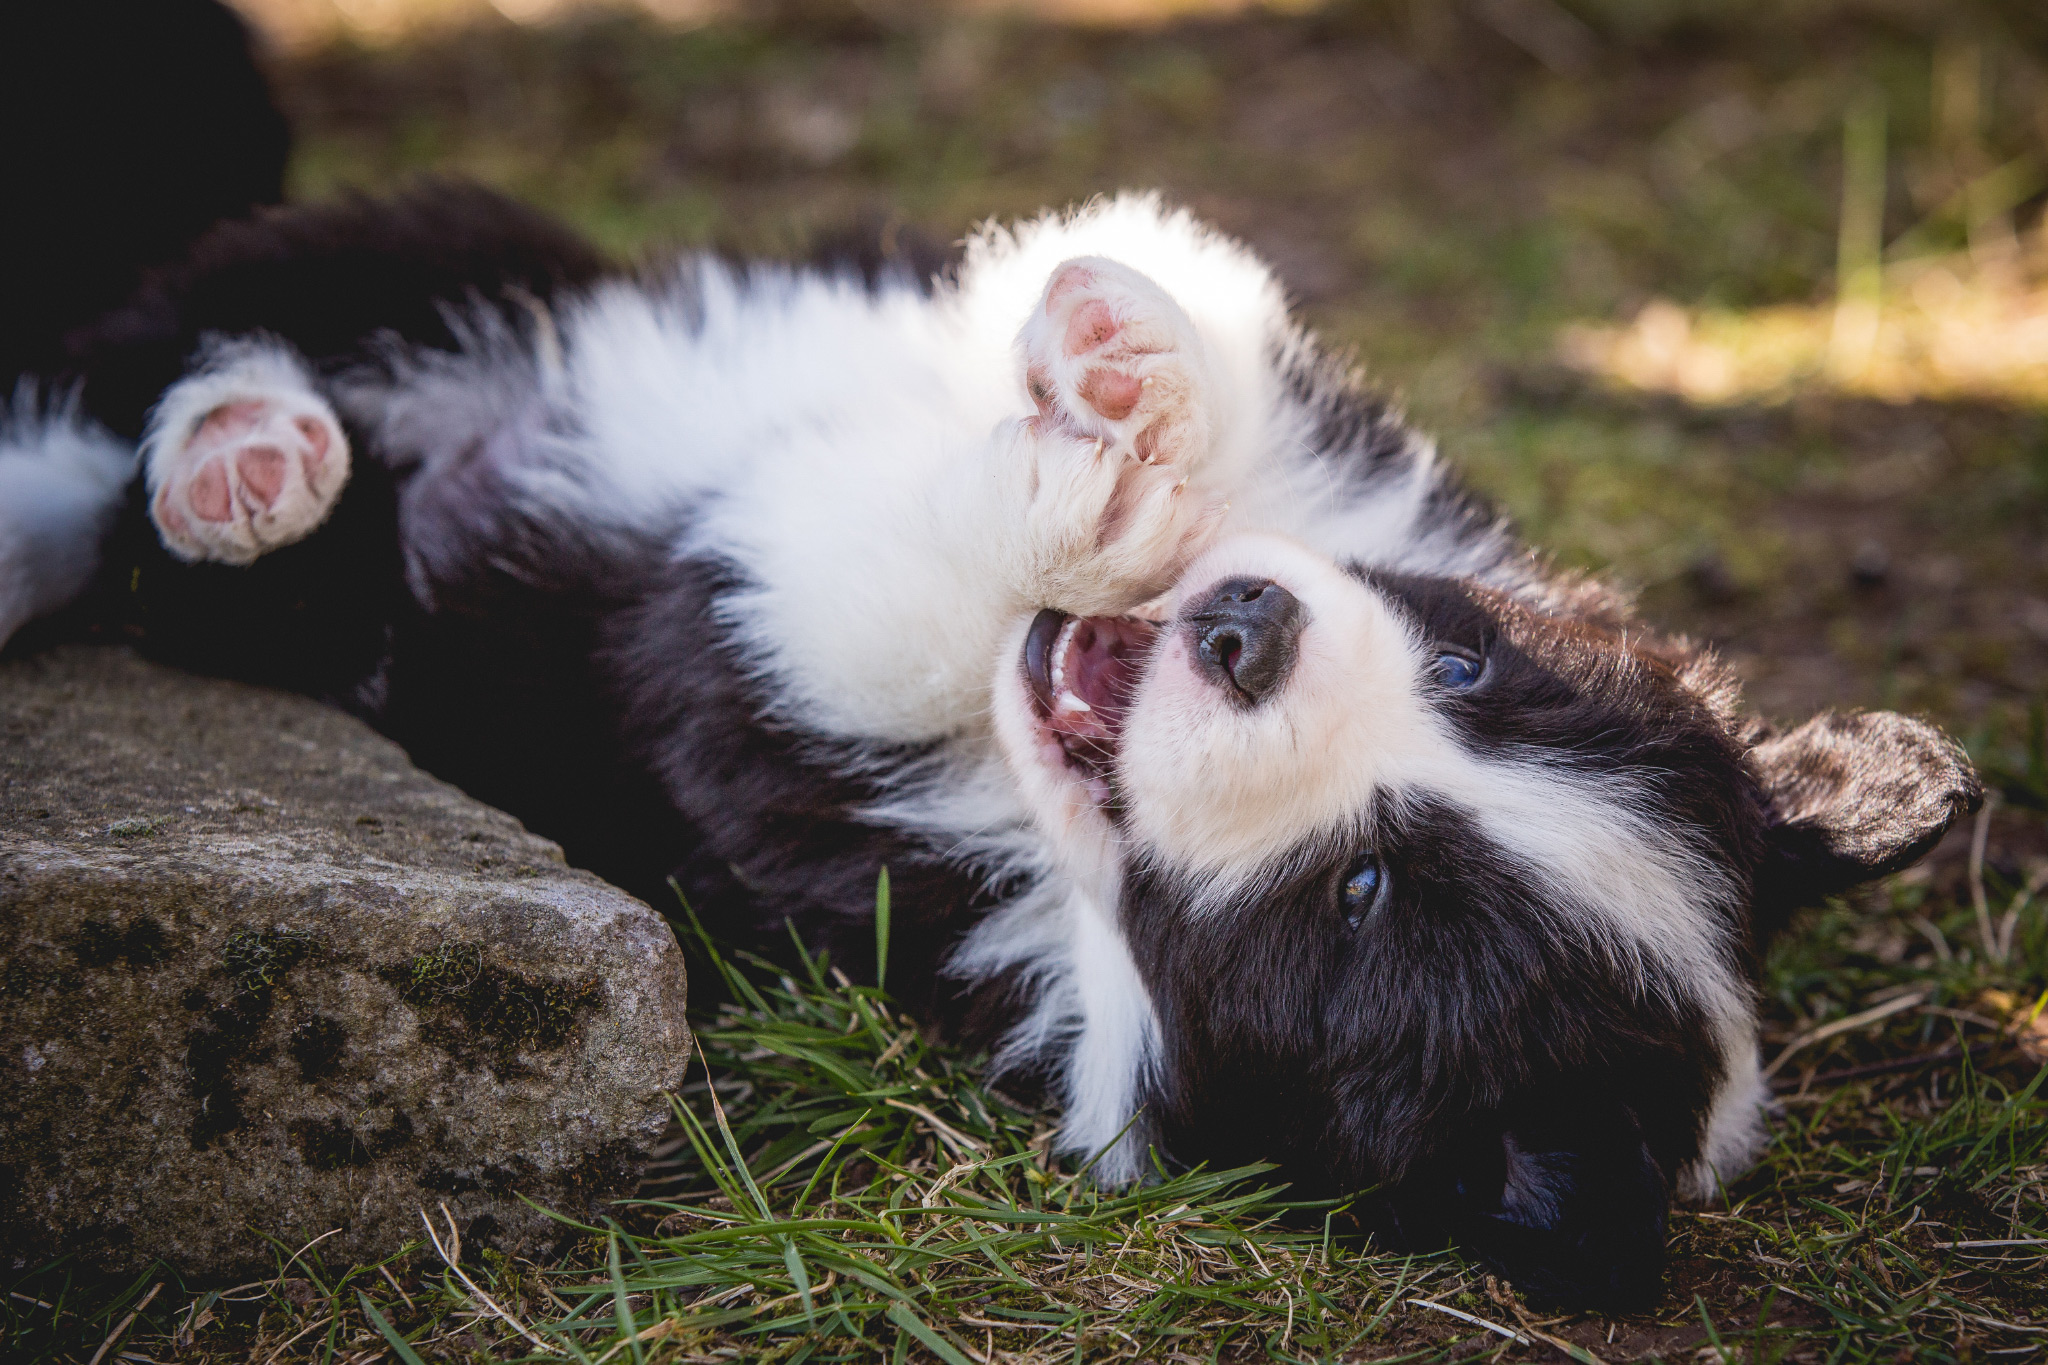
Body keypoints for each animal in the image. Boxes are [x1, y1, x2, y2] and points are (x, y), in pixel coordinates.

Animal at [4, 184, 1982, 1309]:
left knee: (215, 559)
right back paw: (249, 434)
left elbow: (853, 610)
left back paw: (249, 477)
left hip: (406, 647)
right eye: (1472, 662)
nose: (1236, 629)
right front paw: (1121, 364)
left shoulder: (791, 772)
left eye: (1360, 901)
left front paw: (1079, 484)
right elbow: (1220, 377)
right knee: (160, 361)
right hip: (428, 251)